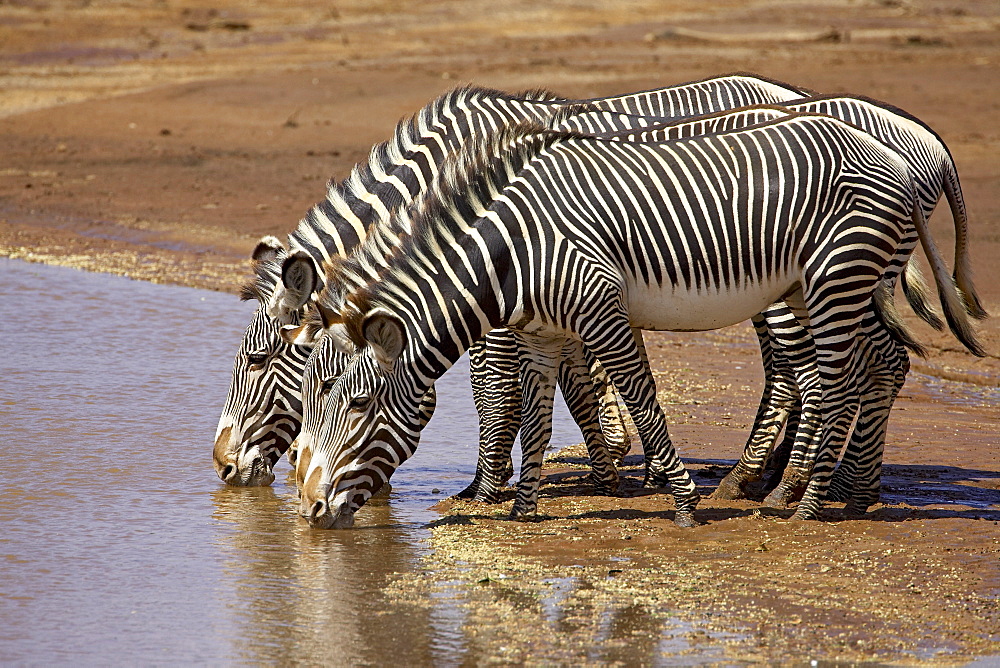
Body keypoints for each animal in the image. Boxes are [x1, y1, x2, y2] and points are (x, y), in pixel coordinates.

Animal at [209, 75, 804, 486]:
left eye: (257, 360)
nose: (221, 467)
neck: (437, 182)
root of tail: (788, 88)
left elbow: (492, 390)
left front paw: (485, 485)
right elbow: (574, 382)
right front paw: (607, 468)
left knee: (789, 367)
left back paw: (755, 478)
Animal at [288, 116, 976, 532]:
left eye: (355, 404)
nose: (310, 507)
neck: (510, 257)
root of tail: (901, 155)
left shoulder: (600, 309)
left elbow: (642, 398)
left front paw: (683, 502)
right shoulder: (543, 335)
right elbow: (536, 421)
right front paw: (525, 509)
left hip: (838, 277)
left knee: (836, 378)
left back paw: (801, 503)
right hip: (830, 283)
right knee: (878, 363)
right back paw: (850, 493)